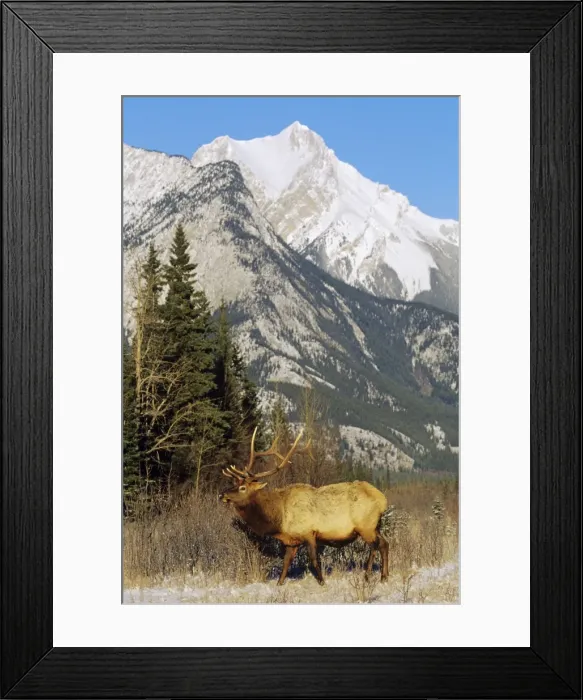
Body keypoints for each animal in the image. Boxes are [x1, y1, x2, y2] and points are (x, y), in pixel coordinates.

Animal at [219, 427, 389, 585]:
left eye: (243, 488)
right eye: (234, 483)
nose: (222, 495)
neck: (279, 519)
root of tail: (383, 500)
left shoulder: (309, 533)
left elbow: (314, 560)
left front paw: (322, 582)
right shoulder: (291, 540)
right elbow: (286, 563)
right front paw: (279, 584)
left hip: (365, 526)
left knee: (374, 546)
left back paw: (367, 576)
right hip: (375, 526)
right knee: (385, 544)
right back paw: (384, 576)